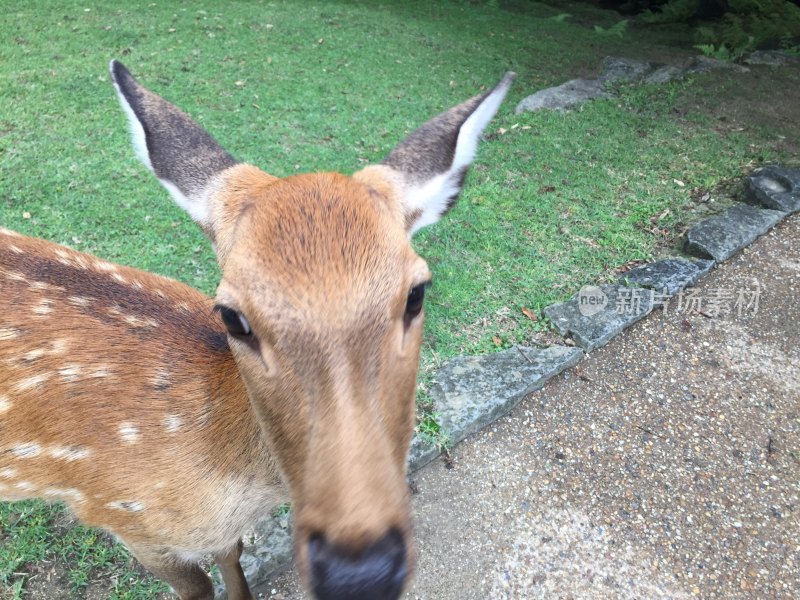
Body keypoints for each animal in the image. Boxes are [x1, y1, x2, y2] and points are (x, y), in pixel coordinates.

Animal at [0, 62, 512, 600]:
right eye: (231, 316)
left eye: (417, 293)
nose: (359, 573)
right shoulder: (124, 516)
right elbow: (199, 586)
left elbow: (233, 556)